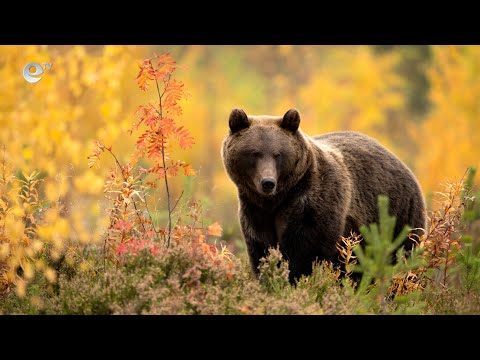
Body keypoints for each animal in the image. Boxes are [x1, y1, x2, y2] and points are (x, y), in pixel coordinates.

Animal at [219, 108, 426, 282]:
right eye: (254, 153)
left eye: (278, 154)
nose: (268, 182)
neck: (278, 199)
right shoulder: (255, 210)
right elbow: (262, 249)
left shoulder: (312, 202)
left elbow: (307, 252)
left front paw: (296, 279)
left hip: (397, 216)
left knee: (402, 257)